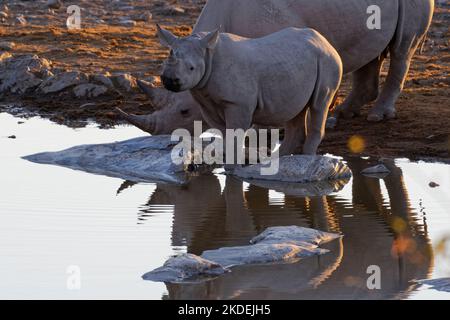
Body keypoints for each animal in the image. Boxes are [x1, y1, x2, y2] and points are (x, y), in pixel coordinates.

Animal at [155, 25, 342, 156]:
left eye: (191, 68)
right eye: (164, 64)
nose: (169, 81)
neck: (208, 56)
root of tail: (326, 42)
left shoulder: (238, 103)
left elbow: (235, 136)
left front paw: (232, 165)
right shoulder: (206, 101)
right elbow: (224, 134)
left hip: (327, 60)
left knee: (319, 104)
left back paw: (307, 157)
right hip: (300, 64)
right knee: (296, 110)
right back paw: (276, 160)